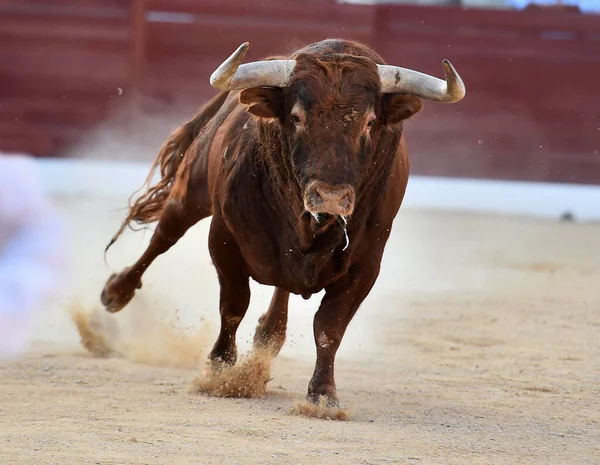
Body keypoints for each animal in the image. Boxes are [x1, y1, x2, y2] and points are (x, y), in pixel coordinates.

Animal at [99, 38, 464, 406]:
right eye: (296, 117)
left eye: (371, 122)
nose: (331, 197)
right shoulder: (224, 239)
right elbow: (233, 306)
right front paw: (218, 371)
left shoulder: (366, 265)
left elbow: (330, 327)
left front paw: (323, 395)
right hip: (192, 189)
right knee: (165, 234)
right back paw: (116, 292)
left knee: (284, 287)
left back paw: (269, 335)